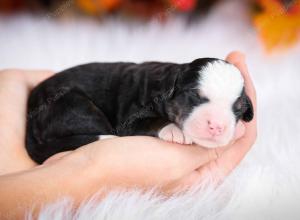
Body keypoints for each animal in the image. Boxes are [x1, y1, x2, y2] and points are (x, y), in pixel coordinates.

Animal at [25, 58, 253, 163]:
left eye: (237, 110)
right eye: (195, 96)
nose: (217, 126)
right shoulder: (129, 119)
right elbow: (151, 121)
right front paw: (174, 130)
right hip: (75, 106)